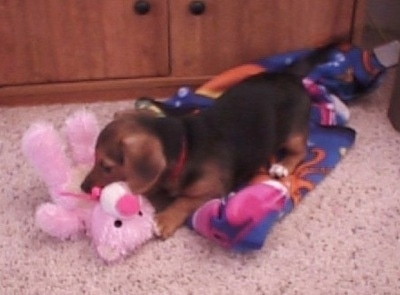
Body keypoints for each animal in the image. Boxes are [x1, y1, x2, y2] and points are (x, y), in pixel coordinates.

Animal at [80, 42, 338, 239]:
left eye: (106, 166)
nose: (82, 188)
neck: (185, 147)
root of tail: (289, 75)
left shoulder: (212, 190)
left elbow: (183, 200)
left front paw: (164, 219)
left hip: (293, 133)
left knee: (299, 150)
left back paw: (282, 165)